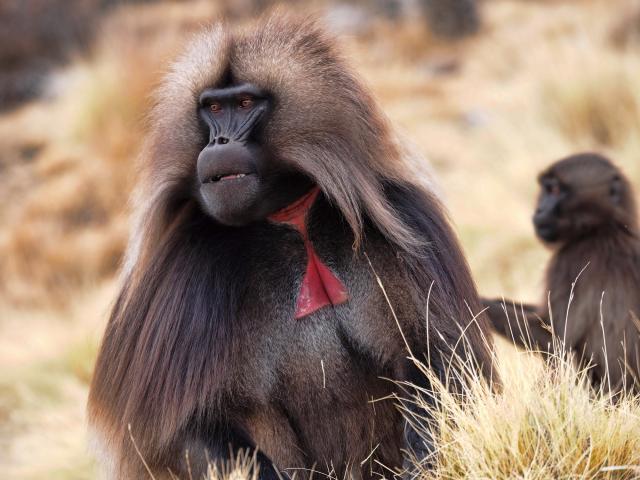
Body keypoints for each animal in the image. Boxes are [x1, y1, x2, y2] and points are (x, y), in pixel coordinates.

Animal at [88, 14, 496, 480]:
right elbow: (175, 435)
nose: (217, 144)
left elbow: (442, 364)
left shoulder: (407, 217)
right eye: (212, 109)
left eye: (245, 103)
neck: (292, 220)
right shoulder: (183, 267)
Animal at [484, 153, 640, 394]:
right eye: (547, 189)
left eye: (556, 190)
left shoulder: (570, 260)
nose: (538, 210)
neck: (602, 227)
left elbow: (557, 340)